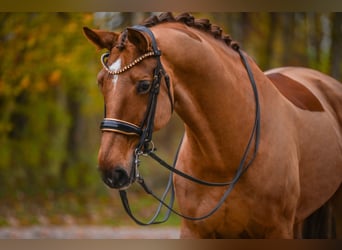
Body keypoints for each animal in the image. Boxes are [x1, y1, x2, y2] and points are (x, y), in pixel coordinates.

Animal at [83, 12, 342, 238]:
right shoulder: (195, 232)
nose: (110, 171)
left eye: (144, 85)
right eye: (100, 83)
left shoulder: (276, 231)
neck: (224, 158)